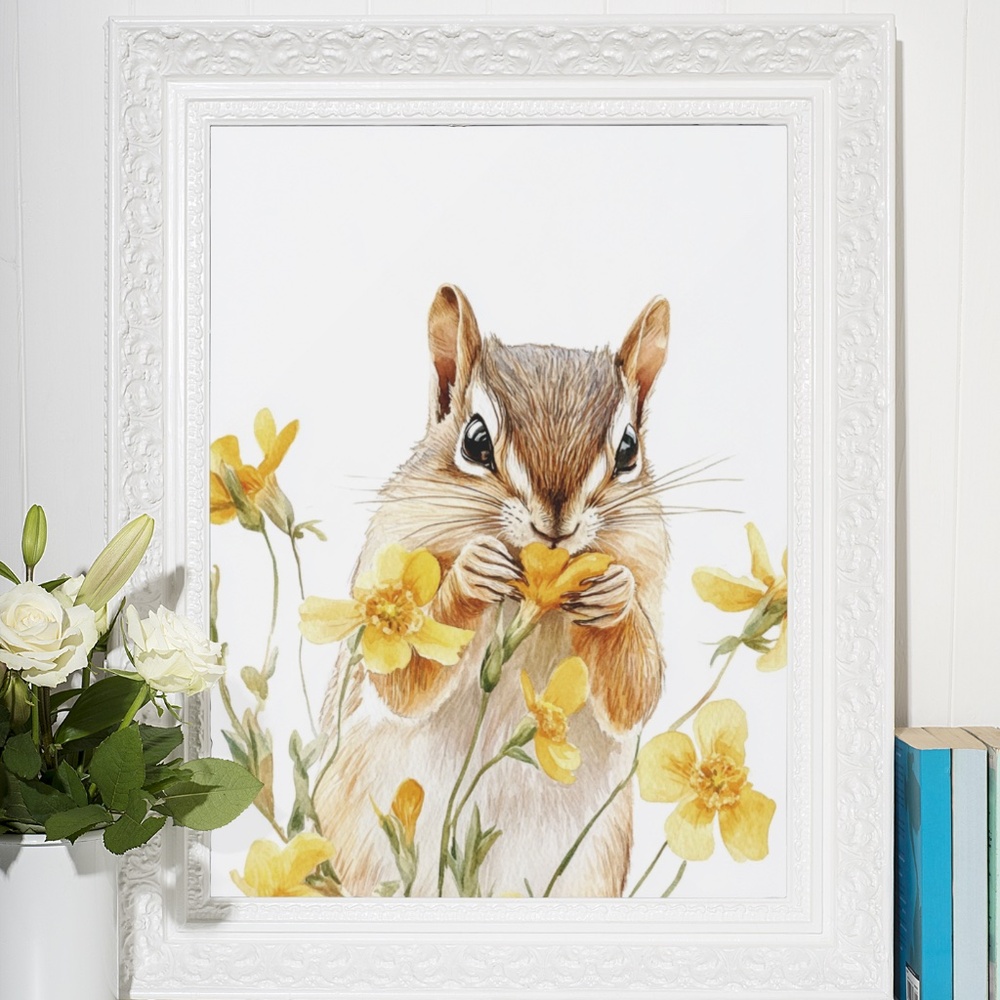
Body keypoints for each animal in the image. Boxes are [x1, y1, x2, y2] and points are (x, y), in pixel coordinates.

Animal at [314, 284, 670, 897]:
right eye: (476, 440)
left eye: (627, 450)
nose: (556, 525)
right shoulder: (389, 557)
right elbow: (402, 684)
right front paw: (470, 574)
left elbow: (638, 690)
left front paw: (614, 595)